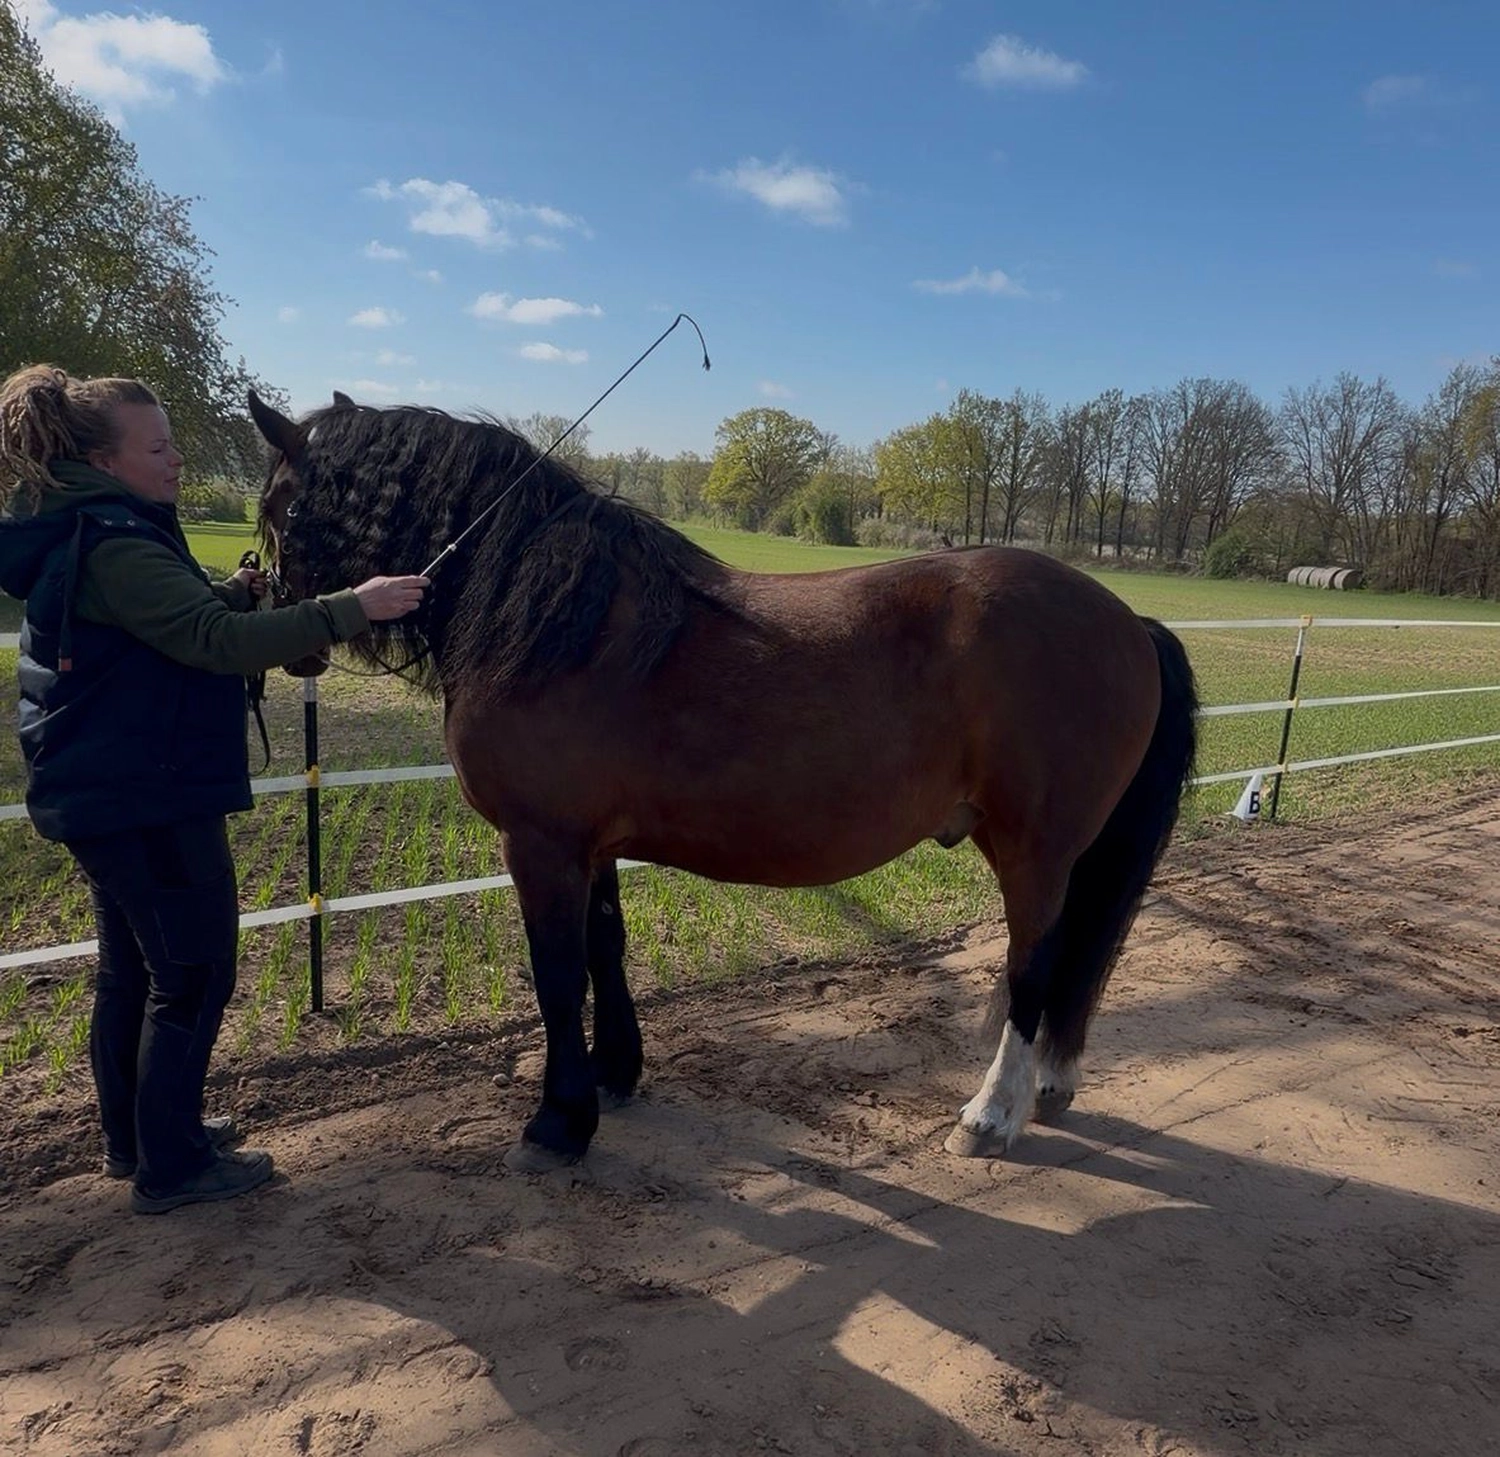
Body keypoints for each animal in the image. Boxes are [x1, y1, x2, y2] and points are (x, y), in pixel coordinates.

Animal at [249, 391, 1198, 1172]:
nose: (284, 633)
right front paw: (614, 1073)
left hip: (1034, 850)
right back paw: (1047, 1087)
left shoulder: (539, 844)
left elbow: (556, 971)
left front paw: (558, 1121)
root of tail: (1129, 621)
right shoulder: (589, 844)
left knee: (1036, 965)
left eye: (278, 505)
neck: (554, 622)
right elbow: (604, 948)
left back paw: (992, 1113)